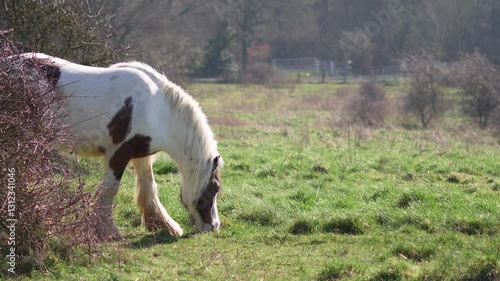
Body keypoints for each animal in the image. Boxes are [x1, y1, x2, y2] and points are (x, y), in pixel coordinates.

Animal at [12, 53, 224, 240]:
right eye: (215, 188)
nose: (214, 226)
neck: (156, 109)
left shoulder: (141, 154)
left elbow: (148, 186)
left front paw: (163, 225)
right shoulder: (119, 152)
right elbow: (110, 188)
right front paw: (107, 231)